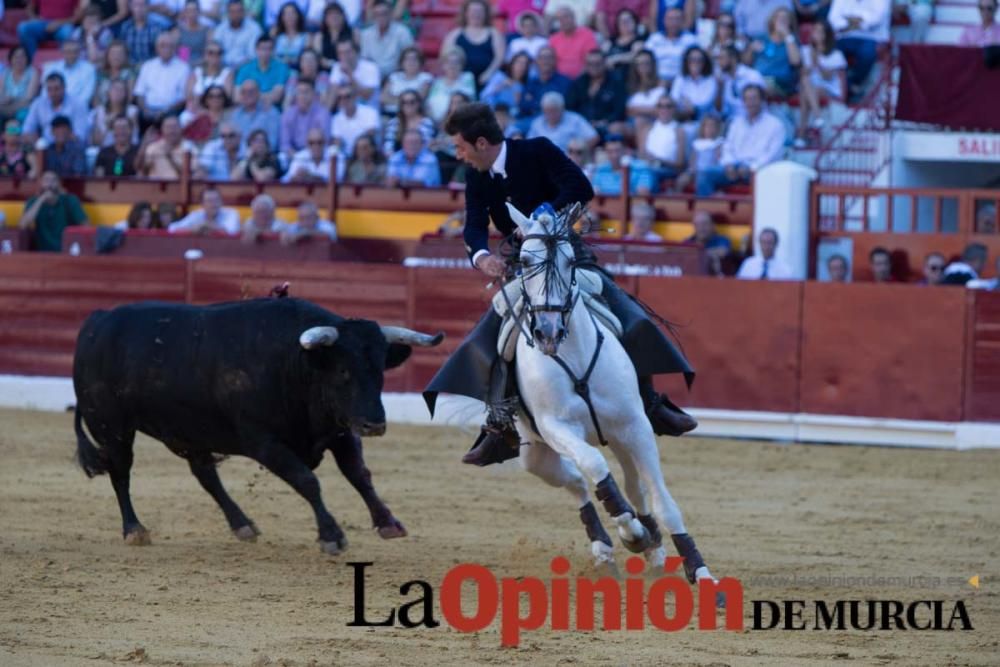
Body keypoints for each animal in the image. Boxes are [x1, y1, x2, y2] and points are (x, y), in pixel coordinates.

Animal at [72, 300, 440, 556]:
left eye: (380, 369)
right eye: (343, 371)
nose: (374, 424)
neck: (295, 363)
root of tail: (96, 320)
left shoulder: (339, 431)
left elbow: (359, 474)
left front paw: (388, 523)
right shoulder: (264, 442)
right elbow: (307, 481)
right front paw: (331, 536)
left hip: (188, 431)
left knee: (205, 474)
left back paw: (242, 525)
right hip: (111, 427)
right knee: (120, 474)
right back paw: (134, 529)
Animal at [508, 204, 712, 584]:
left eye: (570, 261)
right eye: (525, 261)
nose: (547, 331)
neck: (573, 353)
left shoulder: (635, 426)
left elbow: (662, 502)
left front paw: (700, 570)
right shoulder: (556, 427)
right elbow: (594, 466)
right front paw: (630, 530)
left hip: (619, 437)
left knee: (634, 487)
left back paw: (653, 548)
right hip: (535, 455)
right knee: (578, 481)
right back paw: (607, 549)